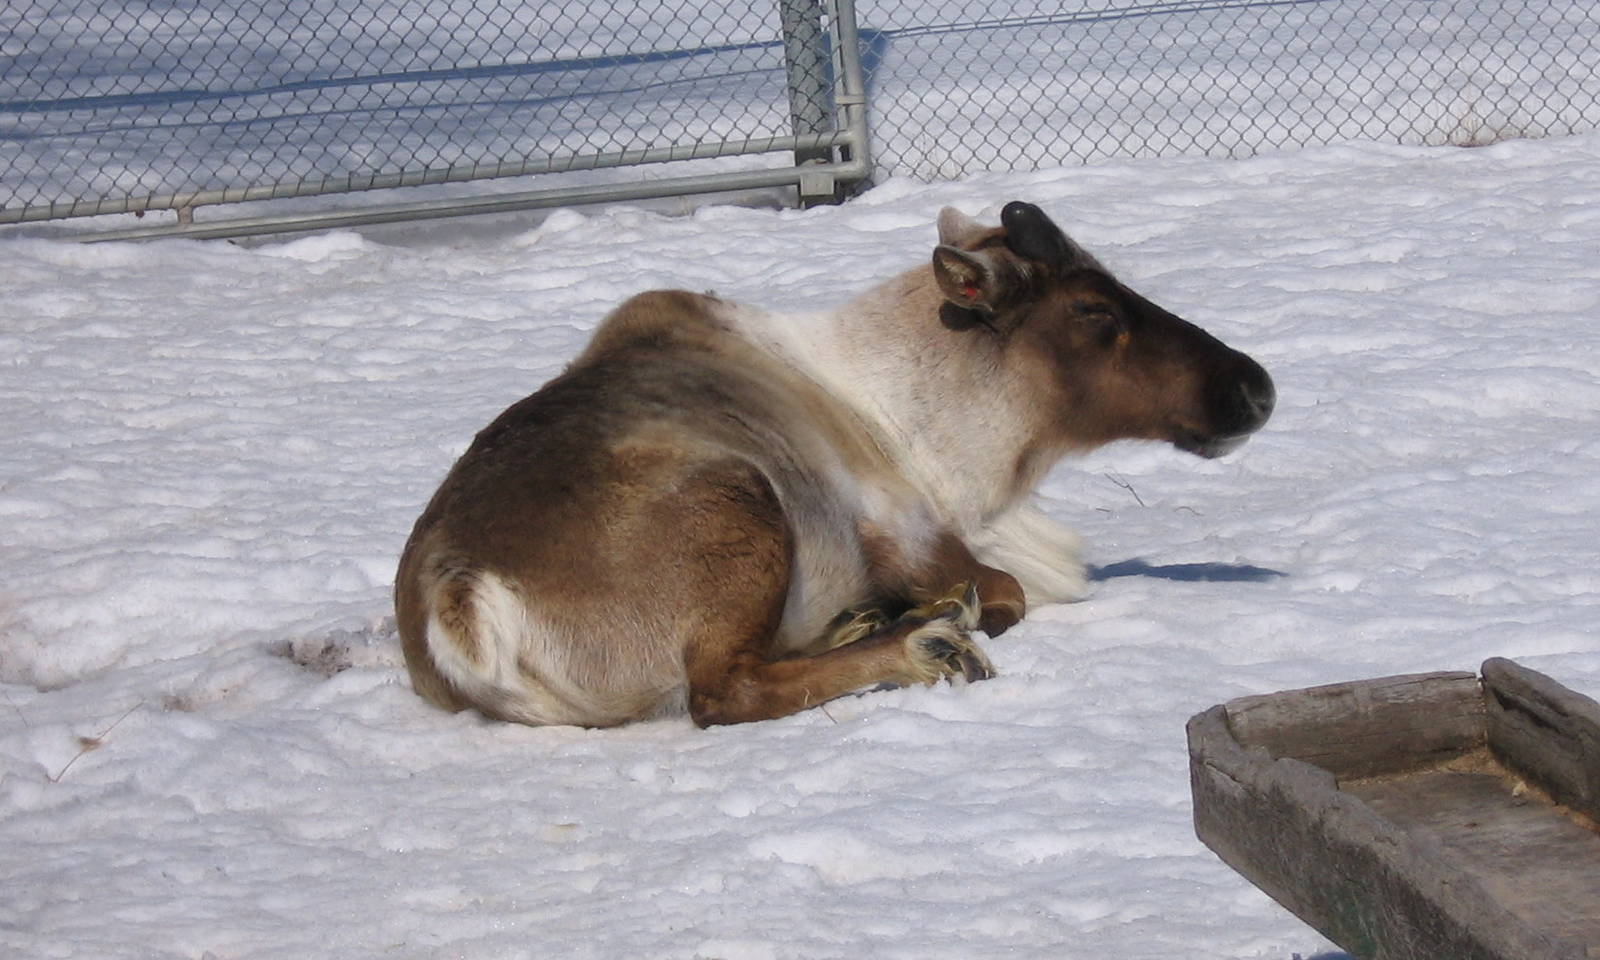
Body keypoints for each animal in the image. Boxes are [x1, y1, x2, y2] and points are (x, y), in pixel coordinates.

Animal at [394, 201, 1274, 727]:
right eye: (1094, 308)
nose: (1254, 387)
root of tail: (462, 602)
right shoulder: (913, 538)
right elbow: (1010, 593)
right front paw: (928, 619)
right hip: (742, 498)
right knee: (723, 691)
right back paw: (920, 644)